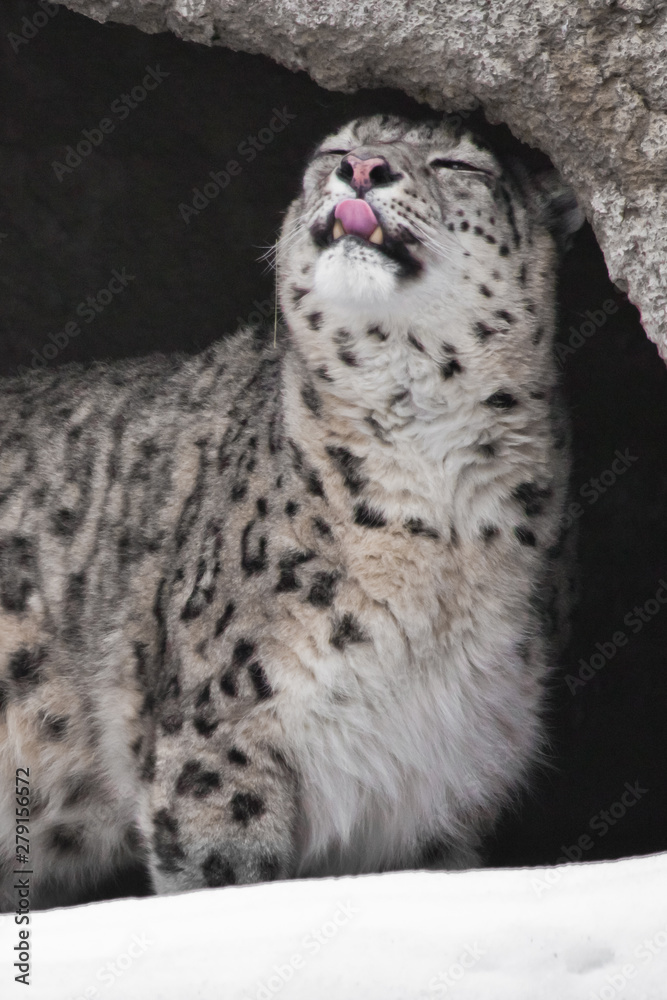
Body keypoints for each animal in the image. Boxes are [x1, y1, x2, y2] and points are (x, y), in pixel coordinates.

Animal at [0, 114, 583, 911]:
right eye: (336, 149)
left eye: (458, 163)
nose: (363, 170)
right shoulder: (221, 737)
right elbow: (225, 873)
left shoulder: (444, 777)